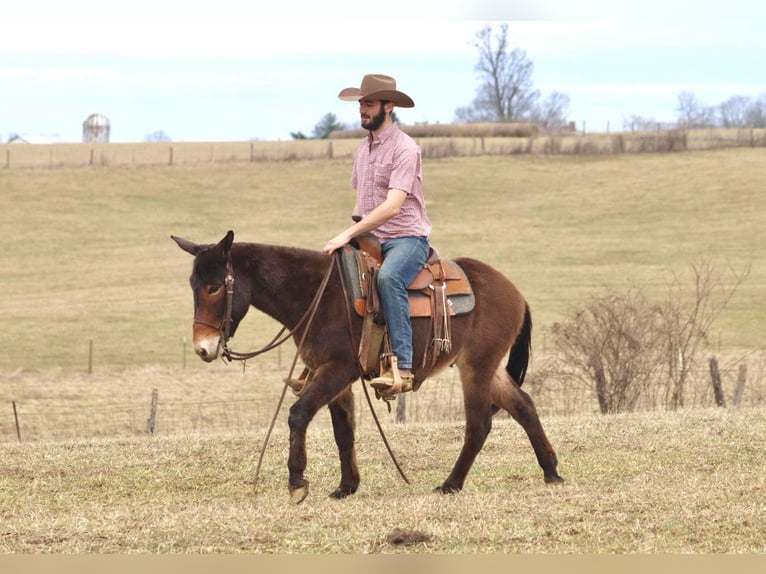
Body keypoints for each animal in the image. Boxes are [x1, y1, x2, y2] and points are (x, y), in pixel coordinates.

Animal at [172, 230, 563, 503]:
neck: (317, 295)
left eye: (215, 287)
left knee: (479, 424)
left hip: (476, 367)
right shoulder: (334, 377)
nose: (203, 348)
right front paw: (347, 486)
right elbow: (343, 431)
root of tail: (514, 292)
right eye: (192, 286)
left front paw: (297, 482)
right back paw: (551, 471)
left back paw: (451, 484)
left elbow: (299, 414)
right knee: (524, 406)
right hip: (489, 367)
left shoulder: (337, 370)